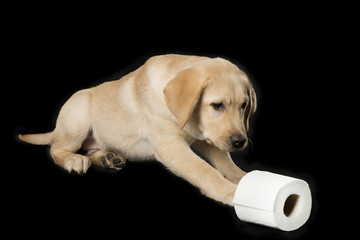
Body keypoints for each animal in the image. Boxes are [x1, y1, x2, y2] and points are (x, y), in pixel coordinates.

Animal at [19, 54, 256, 206]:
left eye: (244, 106)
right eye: (217, 105)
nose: (240, 142)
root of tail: (56, 129)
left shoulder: (207, 137)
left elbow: (225, 162)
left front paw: (242, 178)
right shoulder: (170, 146)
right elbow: (205, 170)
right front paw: (230, 192)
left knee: (89, 149)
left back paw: (108, 158)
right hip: (78, 111)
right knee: (56, 148)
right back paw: (74, 159)